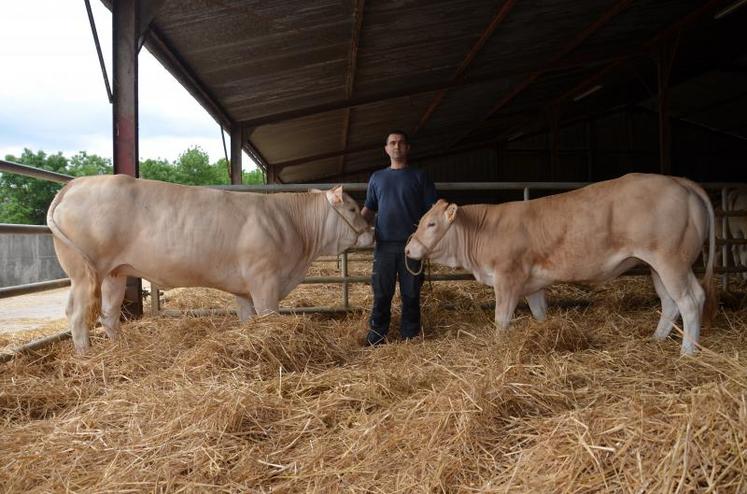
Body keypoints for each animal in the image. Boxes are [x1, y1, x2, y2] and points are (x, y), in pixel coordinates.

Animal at [47, 176, 374, 354]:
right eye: (352, 208)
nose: (373, 231)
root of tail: (74, 184)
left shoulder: (245, 289)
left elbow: (247, 319)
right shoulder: (264, 280)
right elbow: (268, 317)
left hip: (115, 273)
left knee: (109, 314)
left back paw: (120, 349)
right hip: (83, 272)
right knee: (77, 314)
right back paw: (85, 356)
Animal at [410, 174, 720, 356]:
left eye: (432, 223)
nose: (408, 248)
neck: (485, 230)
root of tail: (679, 181)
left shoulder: (508, 277)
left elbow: (501, 319)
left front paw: (498, 346)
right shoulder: (532, 284)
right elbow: (539, 313)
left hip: (670, 260)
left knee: (689, 300)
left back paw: (687, 352)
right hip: (659, 265)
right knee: (671, 302)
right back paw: (657, 339)